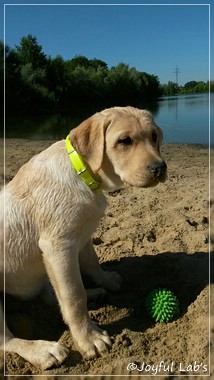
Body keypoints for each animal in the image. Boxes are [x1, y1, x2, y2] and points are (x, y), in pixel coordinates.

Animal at [0, 105, 166, 370]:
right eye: (124, 141)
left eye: (154, 137)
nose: (160, 168)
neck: (84, 175)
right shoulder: (58, 247)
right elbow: (73, 296)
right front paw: (89, 339)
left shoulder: (84, 236)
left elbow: (91, 264)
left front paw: (105, 280)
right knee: (6, 339)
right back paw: (43, 350)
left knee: (49, 296)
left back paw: (95, 293)